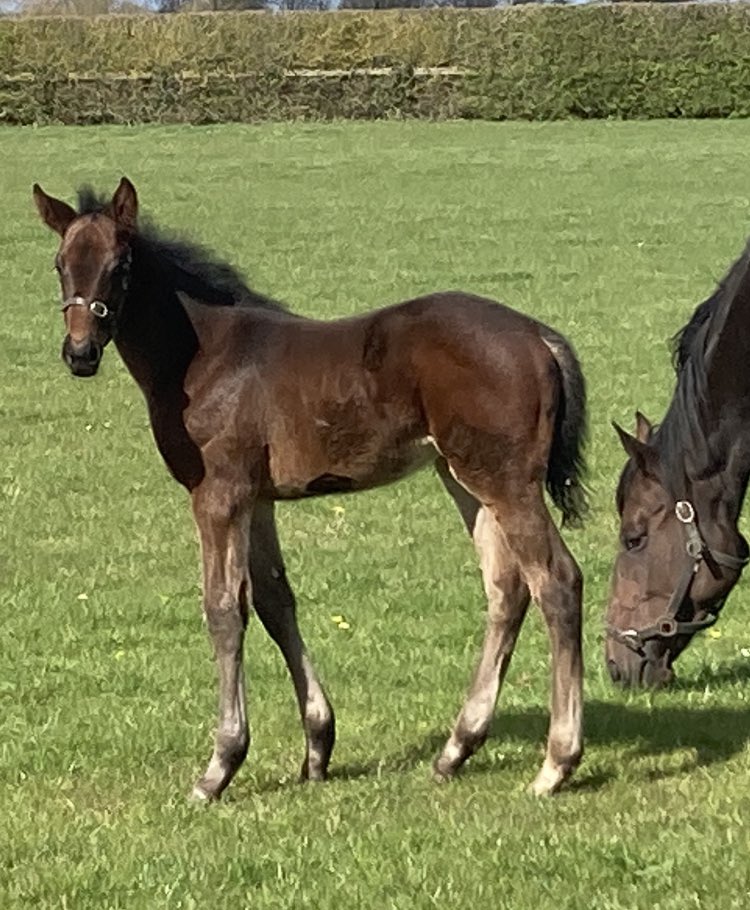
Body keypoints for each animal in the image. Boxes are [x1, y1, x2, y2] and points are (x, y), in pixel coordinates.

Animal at [33, 176, 588, 800]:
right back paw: (455, 750)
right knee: (507, 589)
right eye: (60, 264)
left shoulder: (218, 493)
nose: (80, 353)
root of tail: (539, 337)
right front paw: (318, 747)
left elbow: (223, 608)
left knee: (557, 582)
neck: (203, 357)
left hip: (506, 481)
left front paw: (220, 765)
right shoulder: (257, 500)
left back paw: (556, 763)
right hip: (465, 478)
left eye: (121, 265)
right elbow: (275, 602)